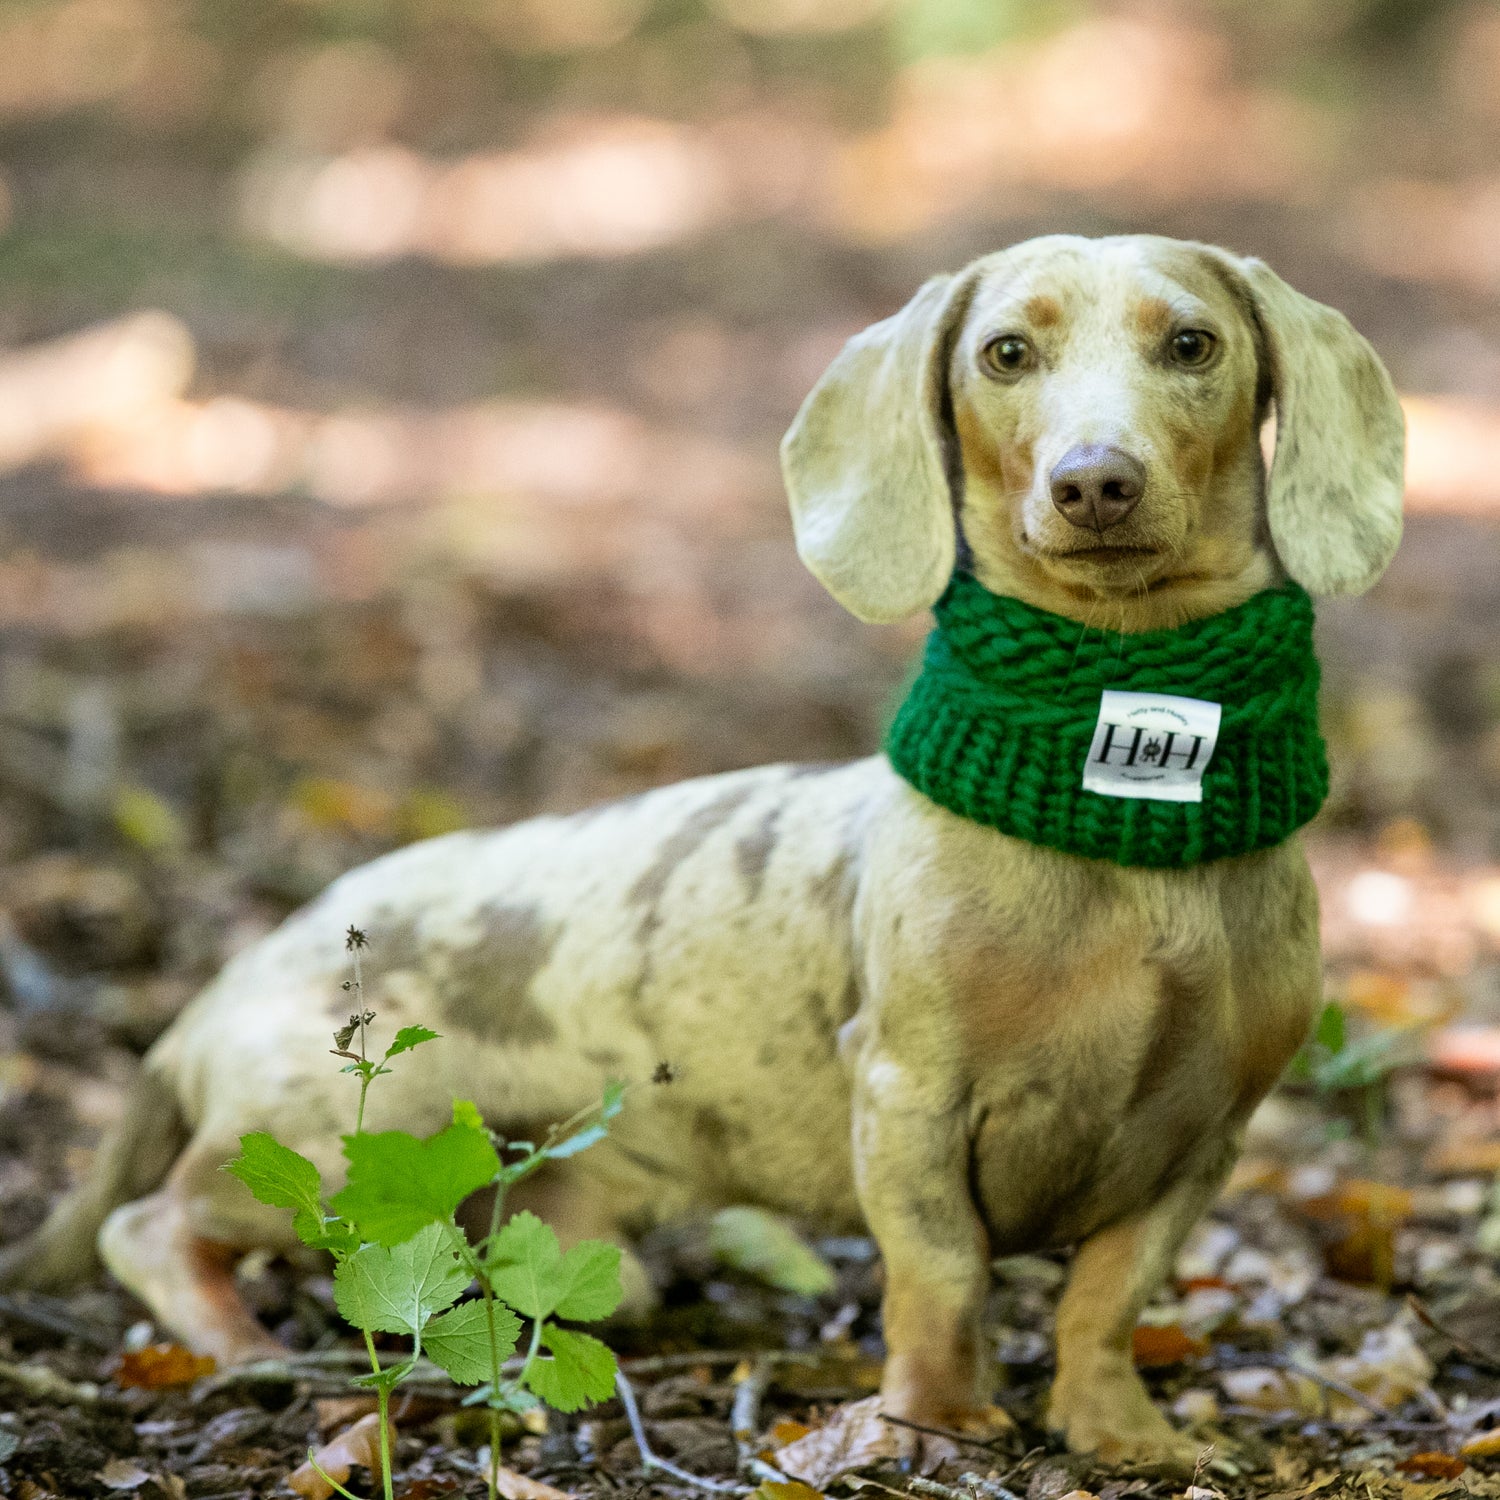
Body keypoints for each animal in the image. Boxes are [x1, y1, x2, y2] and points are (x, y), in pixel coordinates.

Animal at [5, 240, 1398, 1470]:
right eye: (1007, 352)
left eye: (1193, 344)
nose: (1095, 481)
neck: (1122, 824)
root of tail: (231, 980)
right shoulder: (909, 1098)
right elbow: (942, 1278)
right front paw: (934, 1425)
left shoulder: (1202, 1138)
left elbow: (1105, 1302)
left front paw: (1119, 1430)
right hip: (347, 1139)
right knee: (150, 1224)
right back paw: (237, 1342)